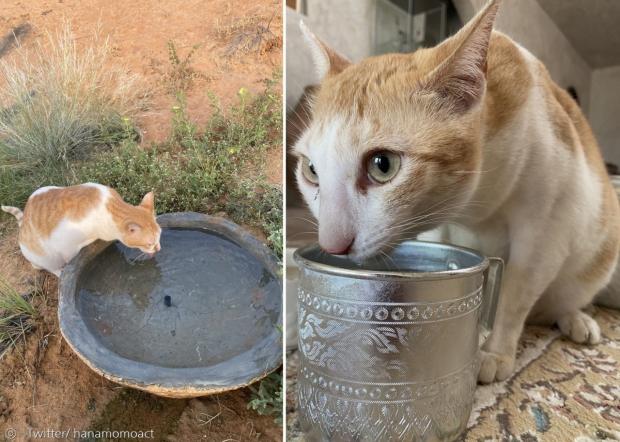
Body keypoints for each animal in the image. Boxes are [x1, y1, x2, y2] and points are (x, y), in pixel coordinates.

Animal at [1, 183, 162, 276]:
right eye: (149, 243)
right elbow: (70, 261)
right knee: (50, 268)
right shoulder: (65, 244)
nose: (158, 249)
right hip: (44, 257)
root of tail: (22, 225)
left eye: (160, 236)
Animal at [294, 0, 620, 384]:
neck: (479, 203)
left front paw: (494, 352)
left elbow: (515, 294)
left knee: (561, 301)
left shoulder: (547, 231)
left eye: (382, 165)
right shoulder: (439, 231)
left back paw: (578, 320)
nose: (332, 246)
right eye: (312, 171)